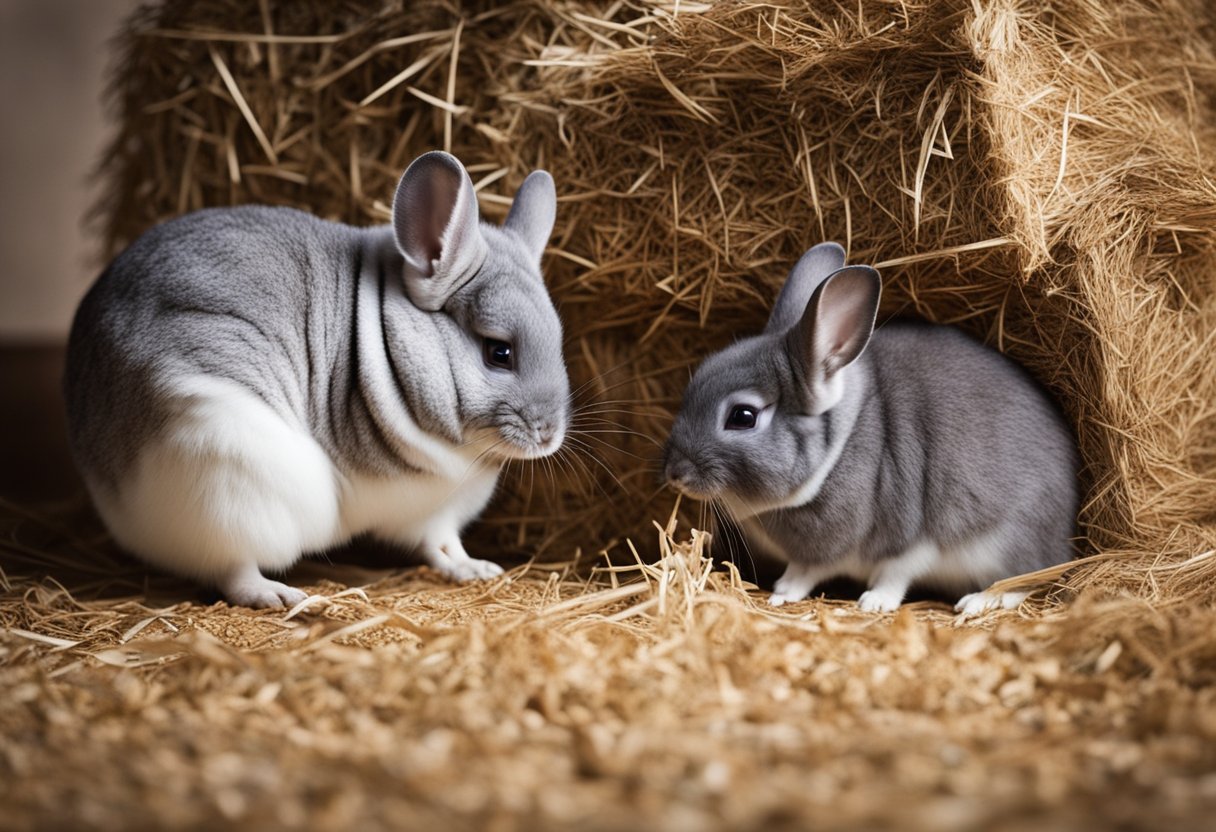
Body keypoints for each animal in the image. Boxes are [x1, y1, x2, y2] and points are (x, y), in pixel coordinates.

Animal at [69, 150, 571, 603]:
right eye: (499, 352)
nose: (549, 435)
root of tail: (112, 489)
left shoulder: (437, 514)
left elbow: (443, 546)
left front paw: (474, 569)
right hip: (229, 481)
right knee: (232, 569)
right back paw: (277, 596)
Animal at [661, 243, 1079, 613]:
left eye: (742, 416)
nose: (674, 474)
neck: (834, 456)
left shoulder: (911, 539)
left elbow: (888, 573)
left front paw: (865, 602)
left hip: (1011, 543)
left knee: (1026, 582)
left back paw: (978, 601)